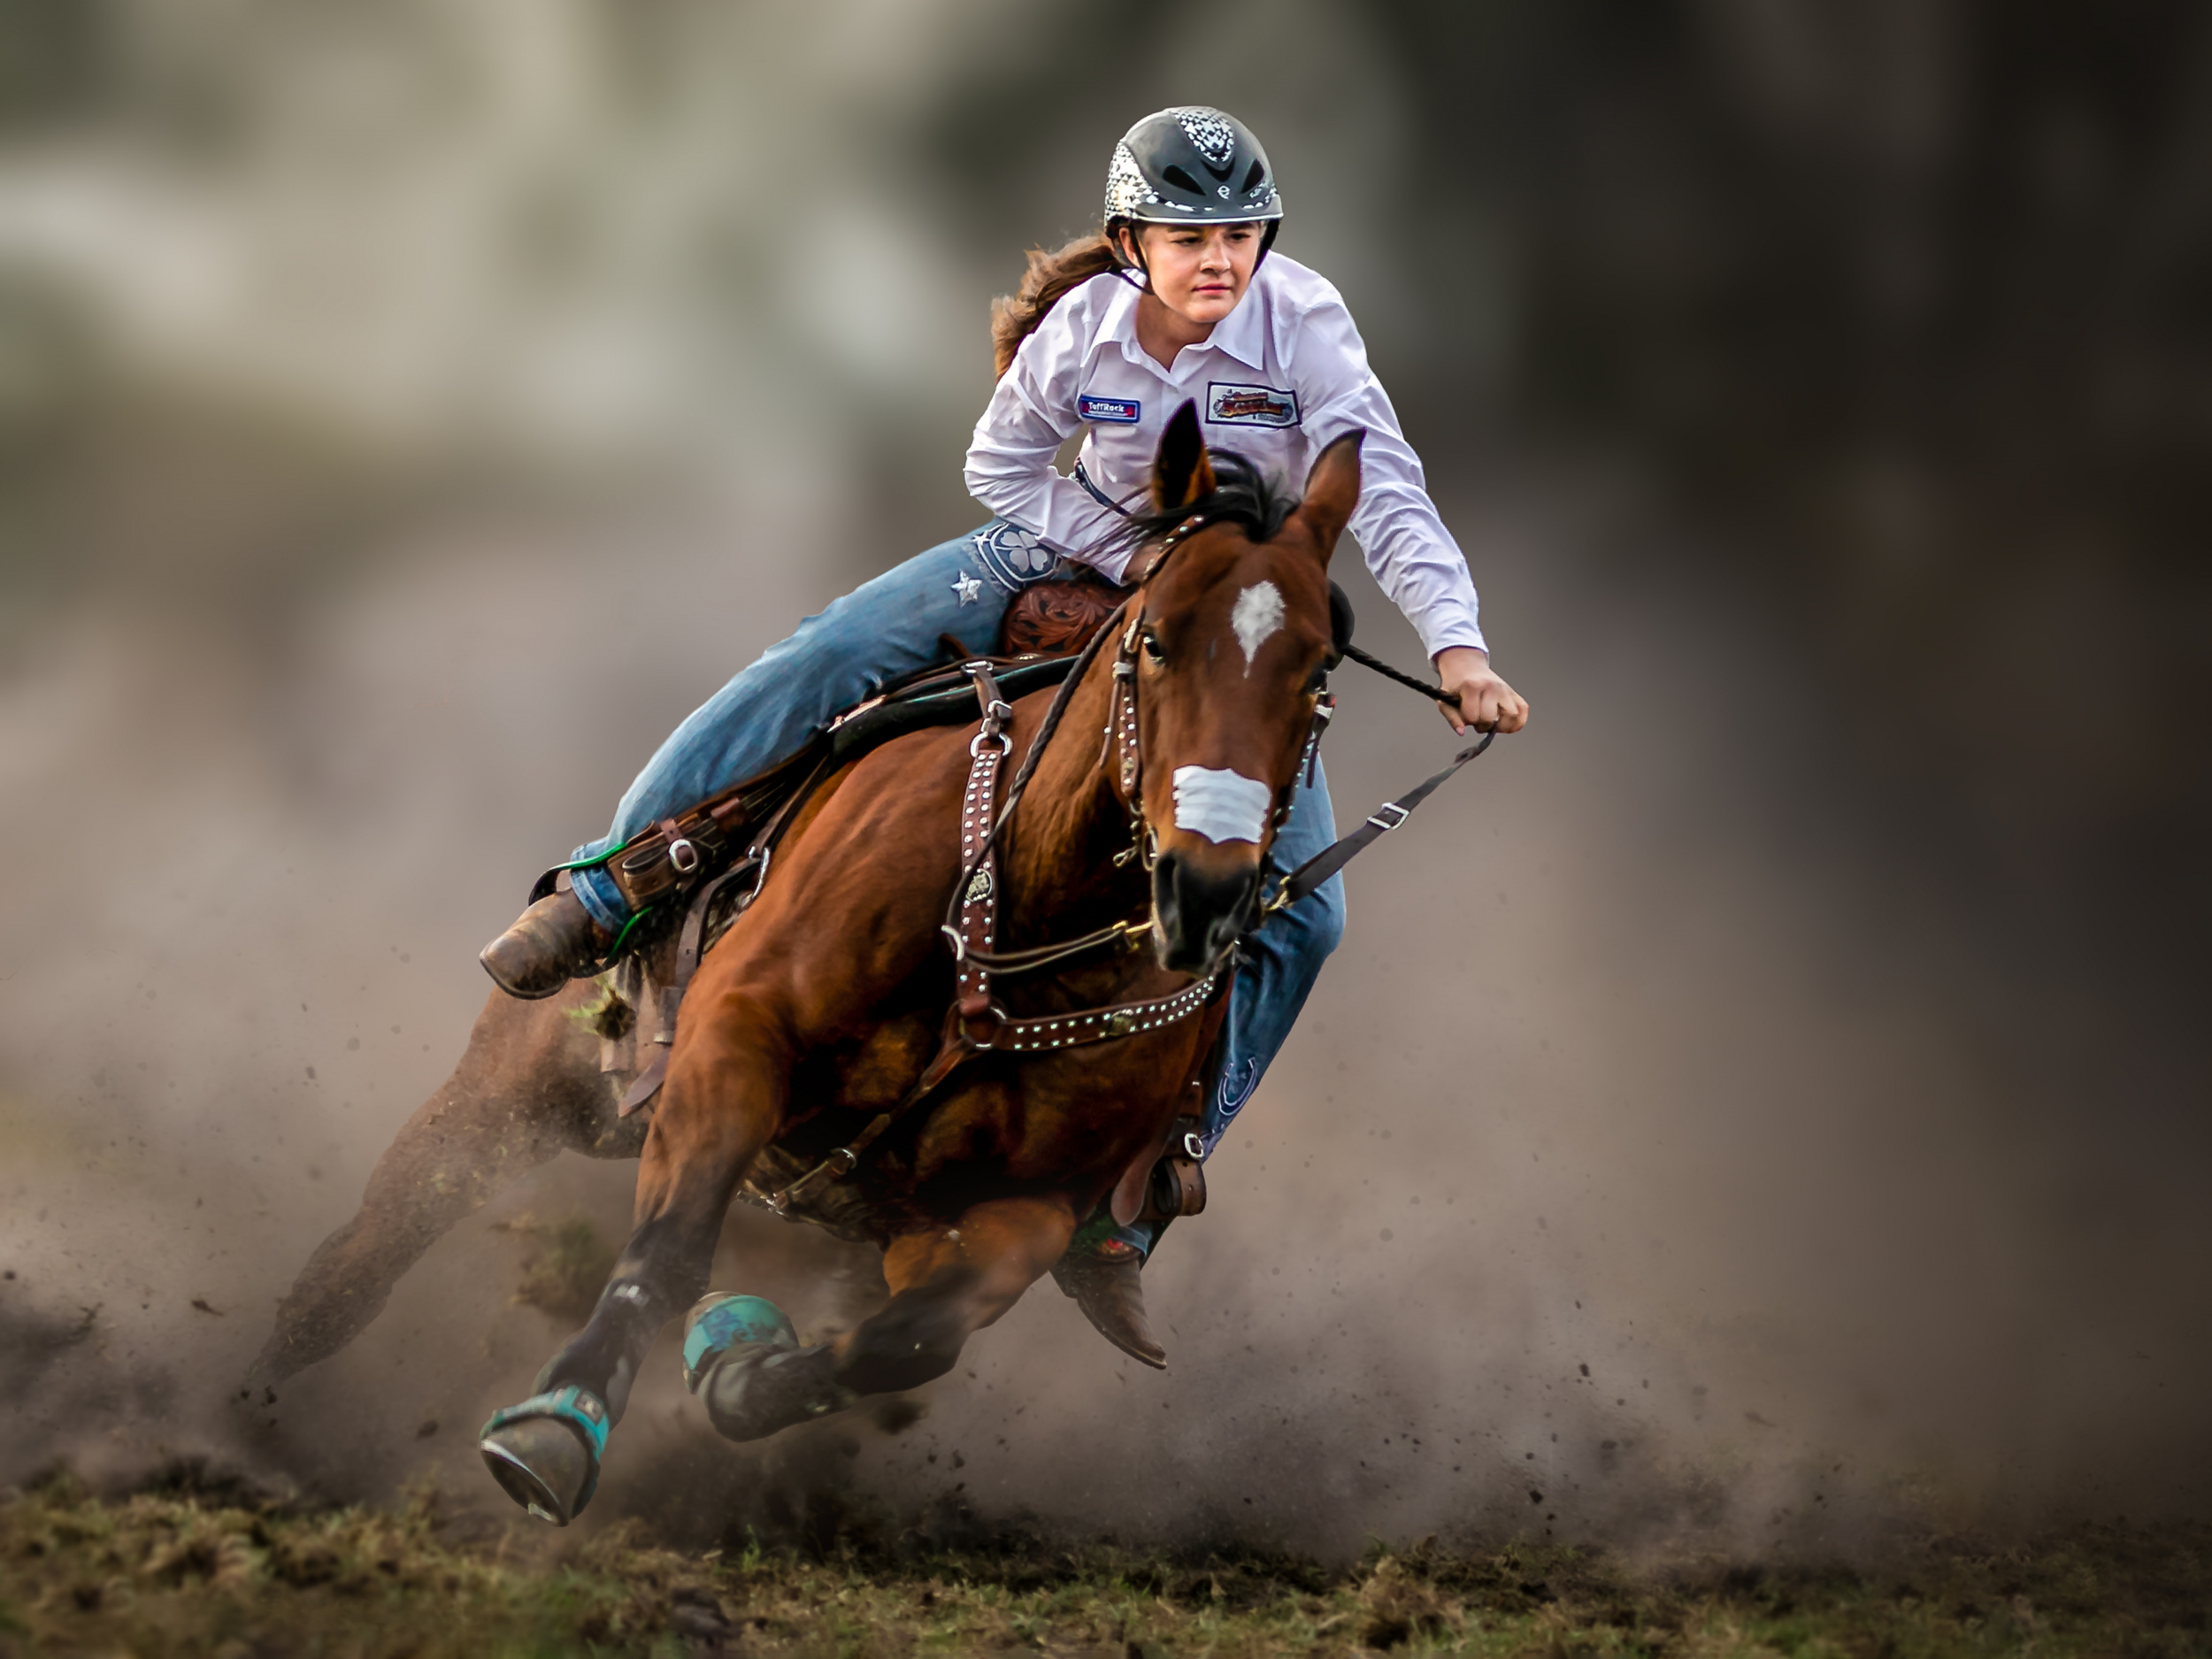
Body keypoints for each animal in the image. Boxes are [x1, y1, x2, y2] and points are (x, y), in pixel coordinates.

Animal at [258, 403, 1363, 1526]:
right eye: (1155, 638)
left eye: (1318, 669)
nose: (1205, 889)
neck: (1011, 936)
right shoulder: (737, 1038)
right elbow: (670, 1245)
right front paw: (558, 1425)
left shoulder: (1021, 1207)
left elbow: (905, 1342)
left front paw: (736, 1361)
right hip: (520, 1087)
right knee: (364, 1257)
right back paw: (248, 1412)